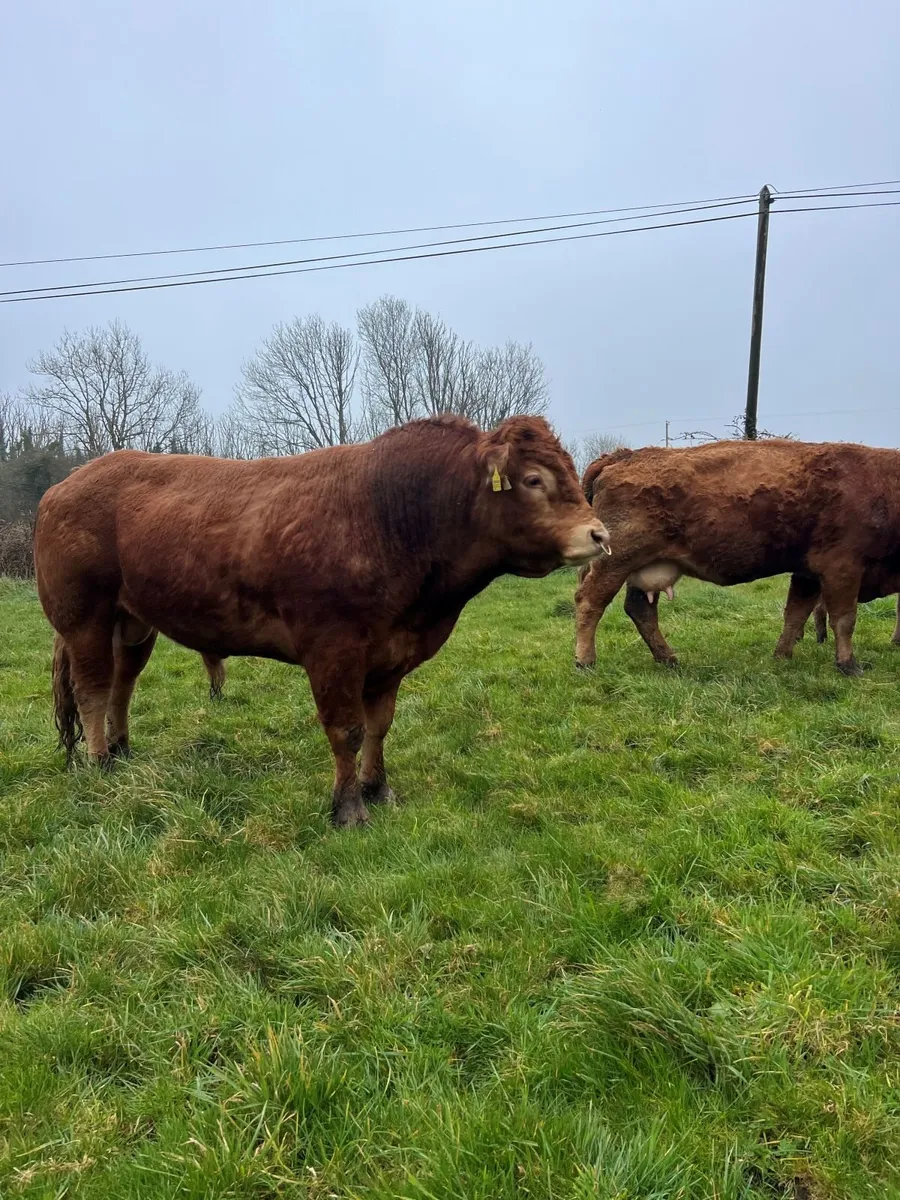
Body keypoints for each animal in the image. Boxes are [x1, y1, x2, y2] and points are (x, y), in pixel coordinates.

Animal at [34, 414, 609, 826]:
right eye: (533, 479)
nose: (599, 534)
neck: (394, 518)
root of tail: (66, 483)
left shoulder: (390, 653)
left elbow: (379, 725)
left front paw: (379, 790)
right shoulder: (334, 650)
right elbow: (346, 730)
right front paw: (348, 808)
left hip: (133, 622)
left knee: (122, 685)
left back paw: (122, 751)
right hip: (83, 617)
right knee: (92, 688)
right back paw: (100, 762)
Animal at [574, 439, 900, 677]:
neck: (882, 484)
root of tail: (622, 456)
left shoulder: (807, 574)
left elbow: (795, 615)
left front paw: (782, 657)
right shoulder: (842, 569)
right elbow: (844, 620)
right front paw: (849, 665)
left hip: (643, 568)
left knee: (639, 609)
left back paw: (668, 659)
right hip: (616, 563)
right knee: (590, 601)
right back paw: (585, 661)